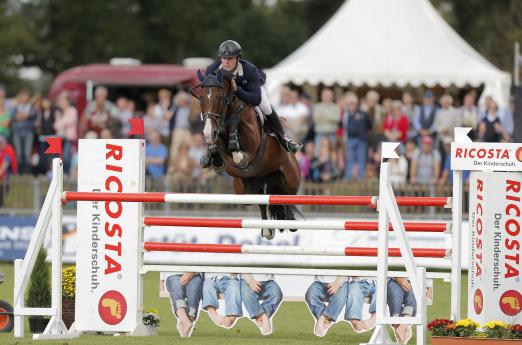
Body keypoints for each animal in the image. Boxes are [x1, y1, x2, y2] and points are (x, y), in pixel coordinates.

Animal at [194, 68, 300, 238]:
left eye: (220, 98)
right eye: (201, 98)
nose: (208, 132)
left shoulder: (252, 142)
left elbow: (236, 132)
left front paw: (236, 149)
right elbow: (218, 148)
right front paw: (214, 159)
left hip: (291, 180)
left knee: (286, 197)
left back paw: (290, 222)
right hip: (245, 192)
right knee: (262, 199)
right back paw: (268, 230)